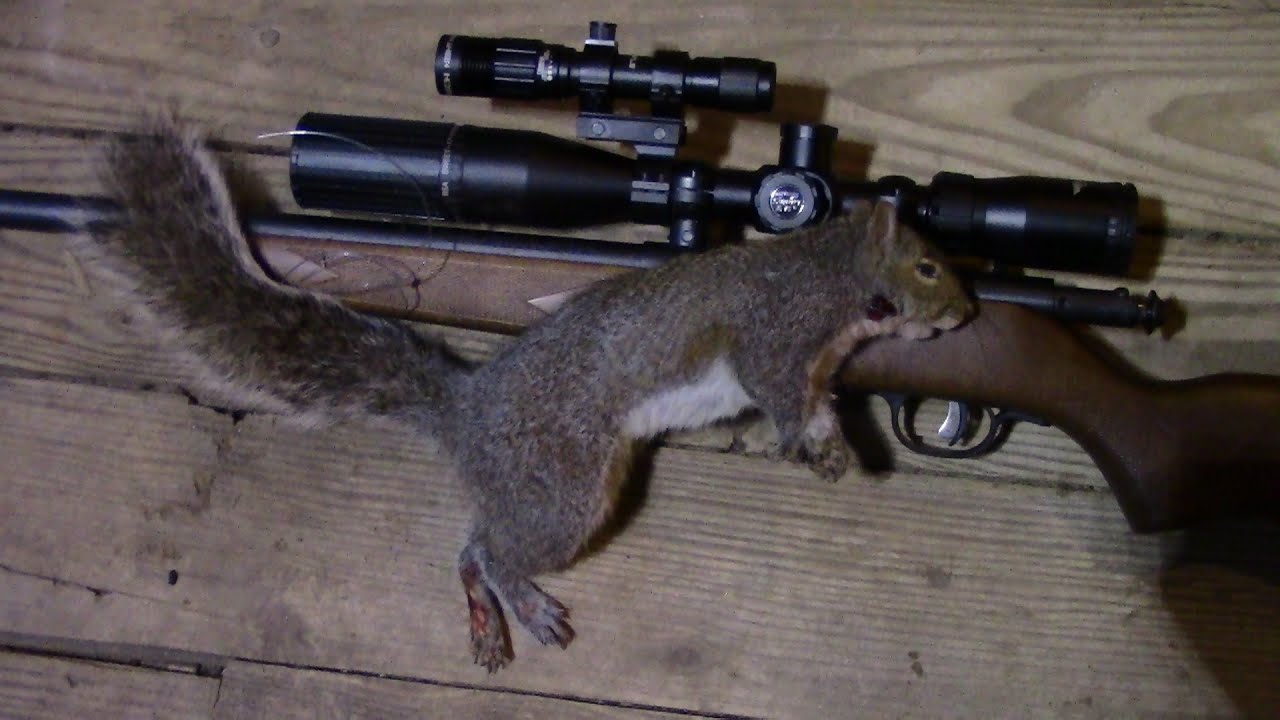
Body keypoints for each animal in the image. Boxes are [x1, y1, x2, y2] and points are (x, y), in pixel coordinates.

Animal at [82, 115, 973, 671]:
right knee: (493, 548)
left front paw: (824, 444)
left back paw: (487, 620)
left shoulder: (817, 363)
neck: (825, 271)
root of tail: (469, 411)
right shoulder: (775, 333)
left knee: (473, 543)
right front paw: (811, 444)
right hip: (562, 485)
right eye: (929, 265)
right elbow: (777, 391)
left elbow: (807, 407)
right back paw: (523, 604)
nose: (968, 313)